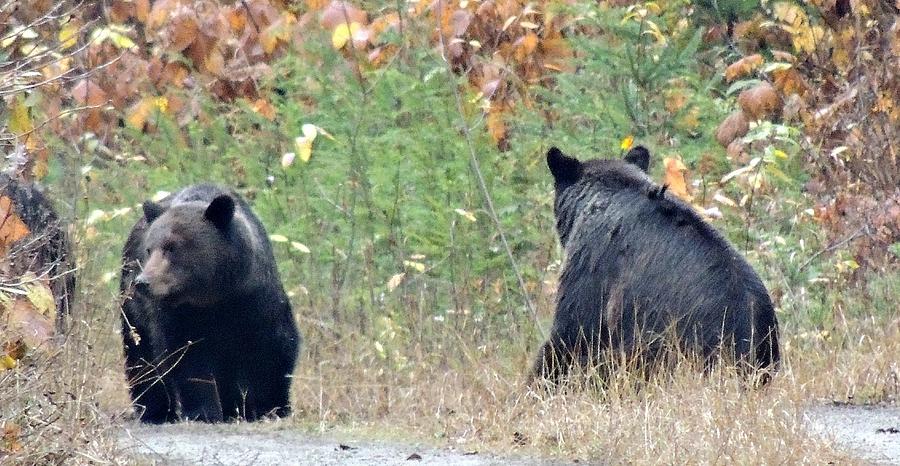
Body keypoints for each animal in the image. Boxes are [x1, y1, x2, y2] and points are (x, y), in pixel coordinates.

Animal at [118, 185, 302, 422]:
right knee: (141, 356)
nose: (143, 281)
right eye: (149, 249)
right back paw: (157, 411)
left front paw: (272, 408)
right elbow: (188, 359)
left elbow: (273, 350)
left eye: (172, 247)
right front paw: (203, 411)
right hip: (134, 310)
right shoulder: (179, 316)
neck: (213, 297)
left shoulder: (255, 303)